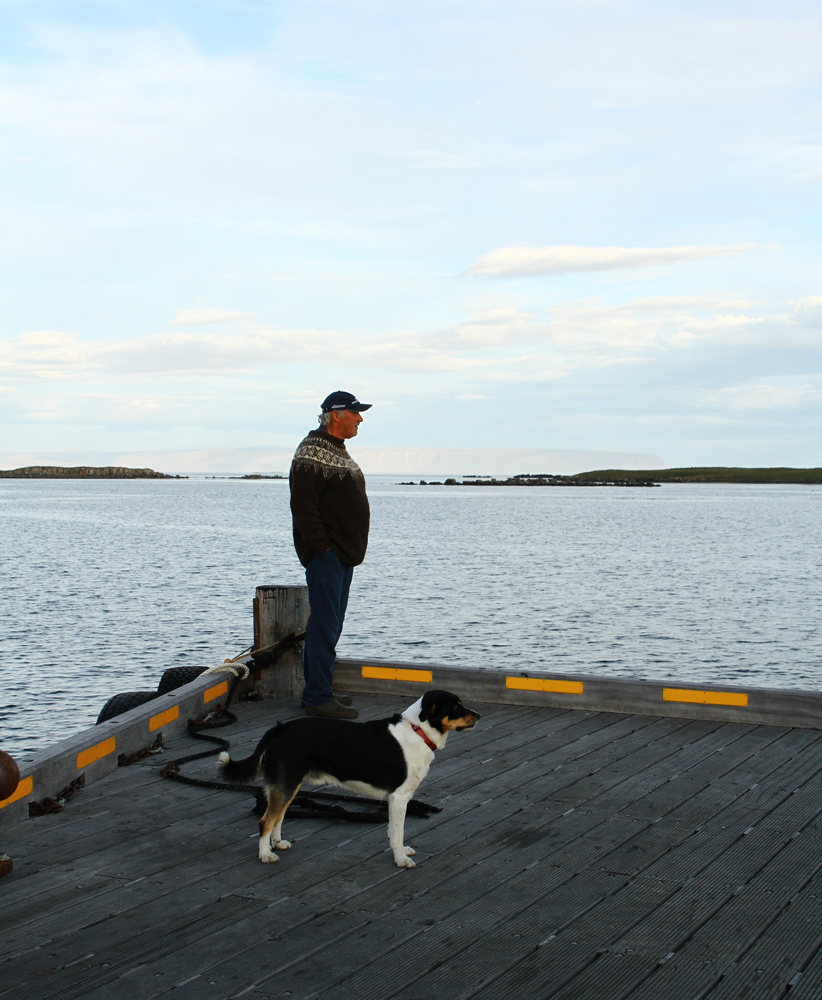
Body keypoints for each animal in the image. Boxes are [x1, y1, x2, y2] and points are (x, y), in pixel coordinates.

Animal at [219, 688, 480, 868]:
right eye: (456, 707)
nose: (479, 715)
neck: (417, 732)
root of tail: (278, 728)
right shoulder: (399, 797)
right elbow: (398, 831)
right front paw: (400, 858)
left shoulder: (393, 800)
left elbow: (392, 829)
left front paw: (400, 850)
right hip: (286, 784)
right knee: (266, 821)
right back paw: (265, 854)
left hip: (290, 785)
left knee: (278, 817)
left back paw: (278, 843)